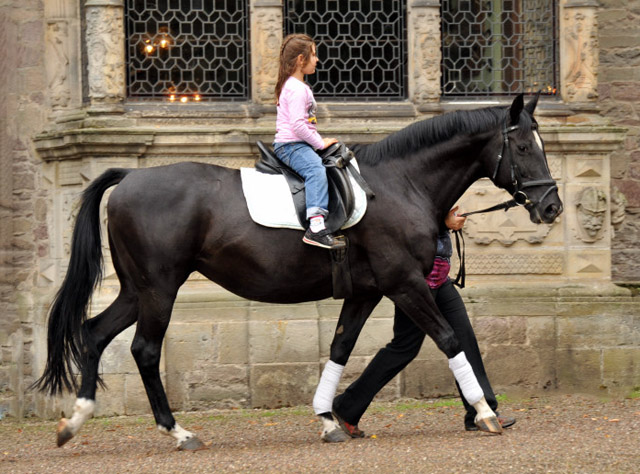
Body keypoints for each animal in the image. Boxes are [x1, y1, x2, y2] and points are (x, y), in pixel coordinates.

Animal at [35, 95, 564, 448]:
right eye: (522, 147)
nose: (552, 206)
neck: (400, 183)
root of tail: (130, 176)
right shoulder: (406, 285)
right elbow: (451, 339)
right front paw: (484, 412)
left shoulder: (366, 292)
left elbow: (340, 348)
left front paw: (330, 419)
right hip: (159, 289)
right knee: (144, 349)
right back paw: (178, 431)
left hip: (136, 290)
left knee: (93, 332)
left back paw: (74, 421)